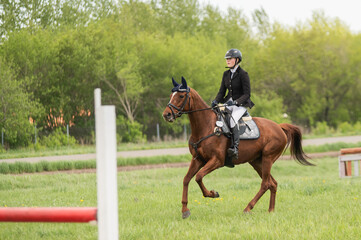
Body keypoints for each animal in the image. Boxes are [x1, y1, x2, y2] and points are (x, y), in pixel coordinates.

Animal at [162, 77, 314, 219]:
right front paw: (185, 210)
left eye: (181, 96)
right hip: (257, 162)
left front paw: (212, 193)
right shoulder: (198, 159)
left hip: (268, 158)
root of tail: (279, 127)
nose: (166, 114)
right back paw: (270, 210)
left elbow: (198, 177)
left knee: (265, 183)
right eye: (171, 95)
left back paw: (248, 208)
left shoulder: (216, 161)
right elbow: (186, 179)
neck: (205, 126)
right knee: (273, 183)